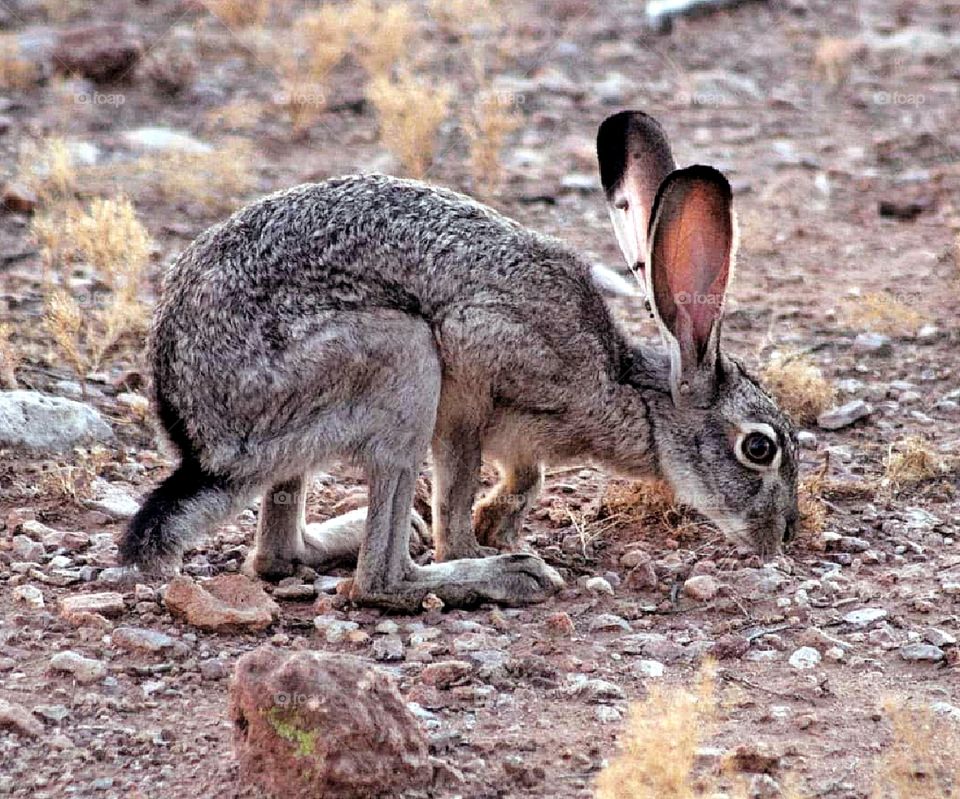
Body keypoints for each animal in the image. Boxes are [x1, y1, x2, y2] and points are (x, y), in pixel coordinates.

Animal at [119, 109, 799, 611]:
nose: (785, 534)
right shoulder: (472, 367)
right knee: (377, 580)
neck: (627, 389)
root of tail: (201, 440)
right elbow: (463, 481)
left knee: (277, 555)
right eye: (758, 447)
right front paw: (475, 544)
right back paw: (501, 577)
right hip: (403, 365)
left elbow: (526, 477)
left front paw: (497, 522)